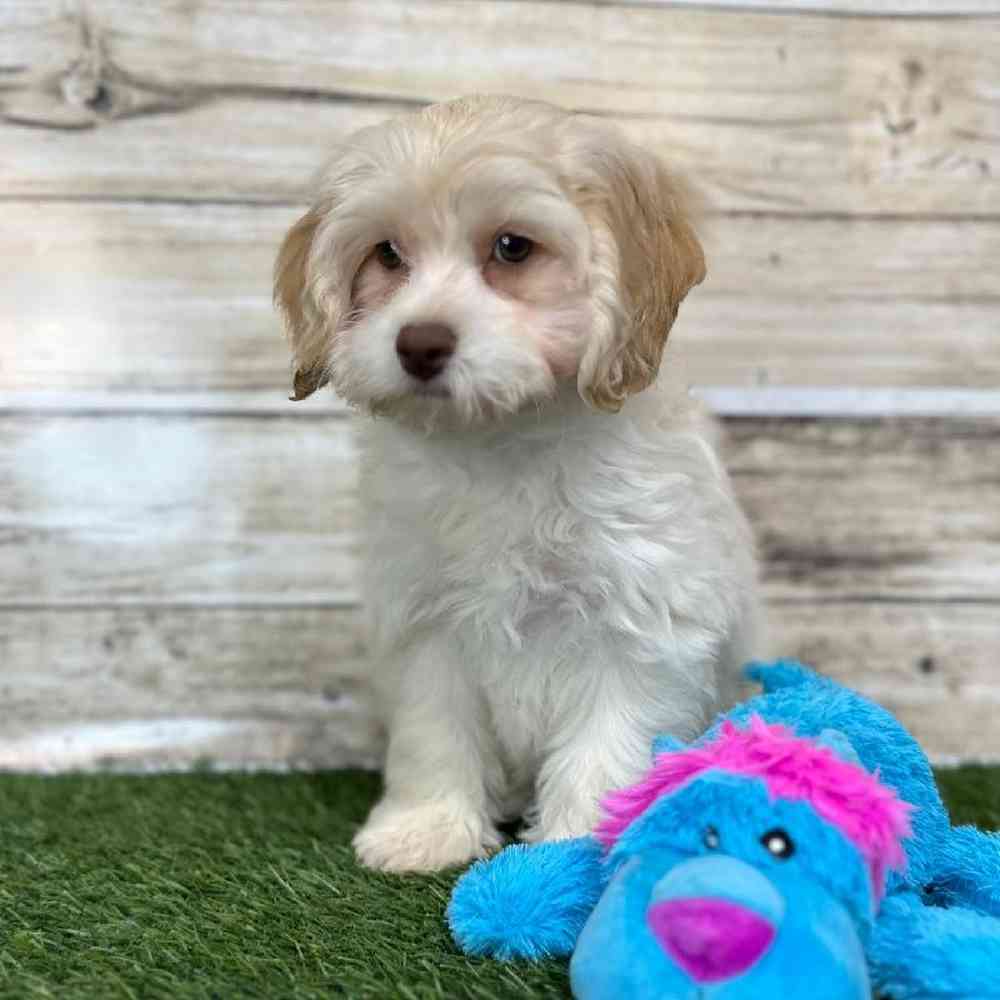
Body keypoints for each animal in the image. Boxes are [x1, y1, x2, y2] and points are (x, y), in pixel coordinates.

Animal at [274, 95, 756, 876]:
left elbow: (605, 745)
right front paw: (426, 830)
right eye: (387, 255)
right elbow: (434, 733)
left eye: (512, 248)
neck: (504, 440)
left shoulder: (638, 622)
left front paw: (580, 854)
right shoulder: (427, 623)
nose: (419, 343)